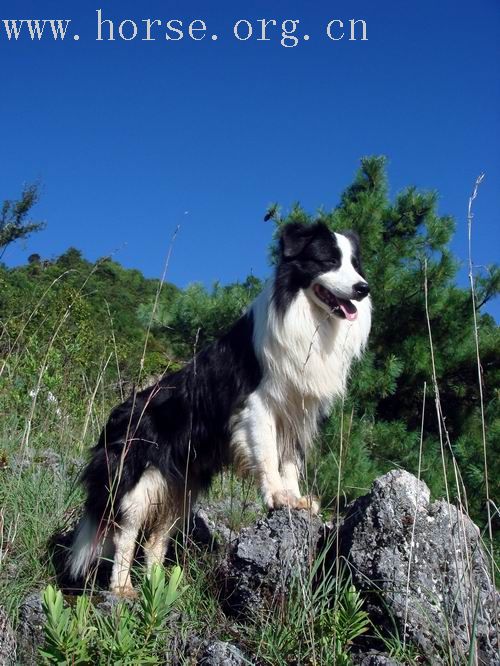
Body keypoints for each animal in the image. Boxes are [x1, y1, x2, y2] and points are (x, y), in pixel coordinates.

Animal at [70, 220, 372, 592]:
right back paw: (123, 588)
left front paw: (297, 498)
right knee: (125, 532)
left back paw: (162, 590)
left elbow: (290, 462)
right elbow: (268, 456)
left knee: (156, 540)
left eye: (355, 264)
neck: (307, 315)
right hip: (138, 479)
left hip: (181, 486)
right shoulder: (258, 405)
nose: (363, 288)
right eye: (328, 260)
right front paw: (277, 497)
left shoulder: (297, 413)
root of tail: (114, 418)